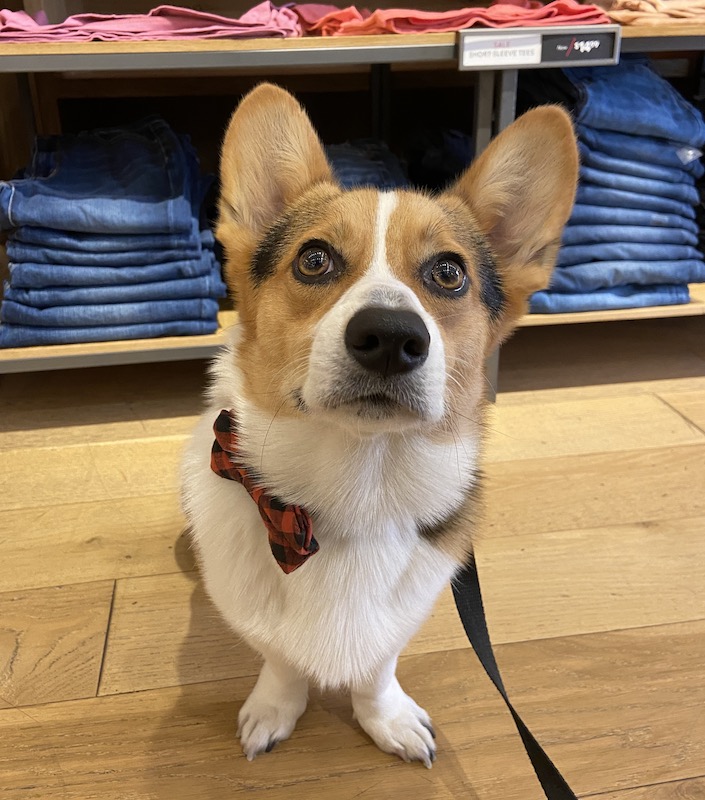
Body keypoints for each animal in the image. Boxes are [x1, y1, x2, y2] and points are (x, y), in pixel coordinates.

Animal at [182, 84, 576, 764]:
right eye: (314, 259)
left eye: (449, 272)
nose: (391, 337)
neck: (356, 487)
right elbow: (280, 662)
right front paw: (273, 710)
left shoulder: (404, 614)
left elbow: (376, 669)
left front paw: (387, 719)